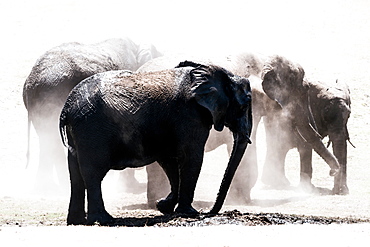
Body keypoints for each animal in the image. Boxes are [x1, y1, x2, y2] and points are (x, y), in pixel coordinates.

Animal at [59, 60, 253, 225]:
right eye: (245, 105)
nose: (208, 212)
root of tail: (66, 109)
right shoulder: (190, 116)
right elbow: (192, 157)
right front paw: (189, 213)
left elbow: (169, 161)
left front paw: (164, 206)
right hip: (92, 130)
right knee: (92, 173)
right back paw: (104, 220)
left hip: (79, 133)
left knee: (75, 174)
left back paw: (77, 221)